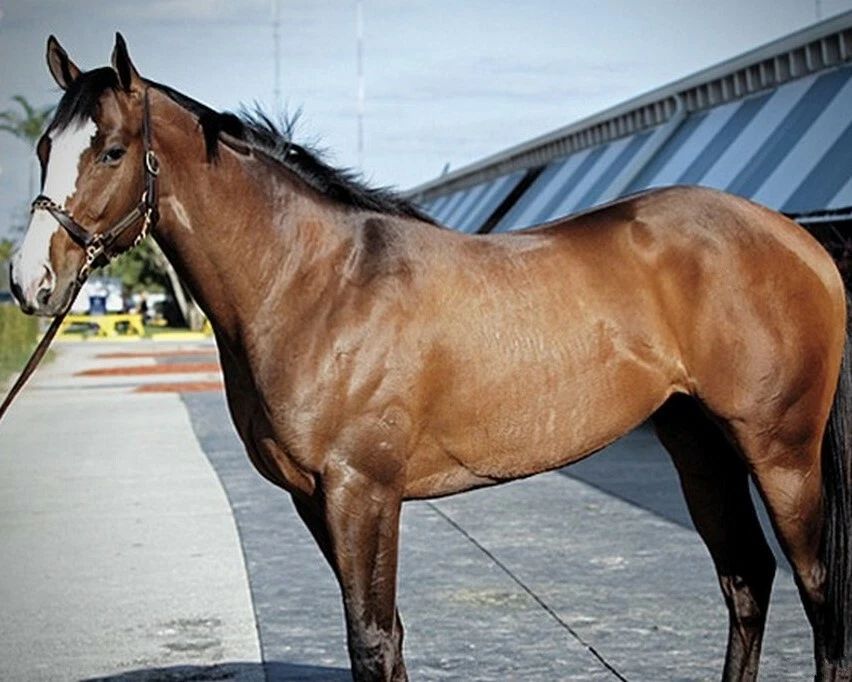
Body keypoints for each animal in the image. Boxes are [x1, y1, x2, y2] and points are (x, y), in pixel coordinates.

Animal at [9, 34, 852, 682]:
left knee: (818, 591)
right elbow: (390, 638)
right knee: (746, 578)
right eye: (45, 147)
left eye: (111, 151)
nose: (29, 281)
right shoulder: (315, 498)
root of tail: (798, 239)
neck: (316, 283)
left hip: (780, 451)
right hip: (699, 444)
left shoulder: (364, 491)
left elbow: (373, 640)